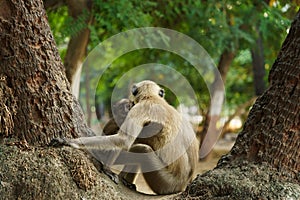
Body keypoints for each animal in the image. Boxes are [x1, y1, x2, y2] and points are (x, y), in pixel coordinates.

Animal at [51, 80, 199, 195]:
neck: (152, 98)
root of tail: (183, 184)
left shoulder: (139, 109)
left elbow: (123, 141)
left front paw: (71, 141)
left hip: (165, 182)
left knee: (141, 149)